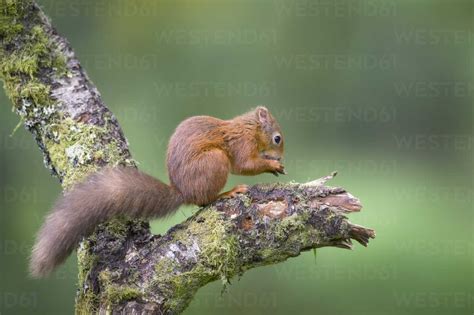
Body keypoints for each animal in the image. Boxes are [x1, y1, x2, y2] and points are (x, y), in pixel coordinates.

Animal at [31, 107, 286, 278]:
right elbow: (245, 165)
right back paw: (227, 193)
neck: (250, 128)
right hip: (215, 161)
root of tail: (183, 192)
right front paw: (271, 165)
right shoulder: (241, 144)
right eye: (277, 138)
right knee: (205, 201)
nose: (281, 156)